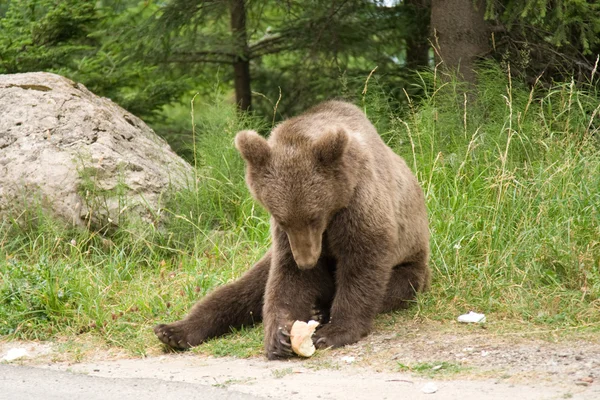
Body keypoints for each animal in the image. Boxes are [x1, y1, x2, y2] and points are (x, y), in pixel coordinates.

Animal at [152, 100, 428, 360]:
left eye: (314, 217)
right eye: (281, 219)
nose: (307, 262)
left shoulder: (358, 203)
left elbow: (362, 261)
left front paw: (333, 332)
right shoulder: (286, 240)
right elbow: (286, 280)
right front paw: (280, 336)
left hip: (412, 263)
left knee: (396, 286)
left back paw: (322, 310)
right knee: (244, 289)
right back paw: (173, 331)